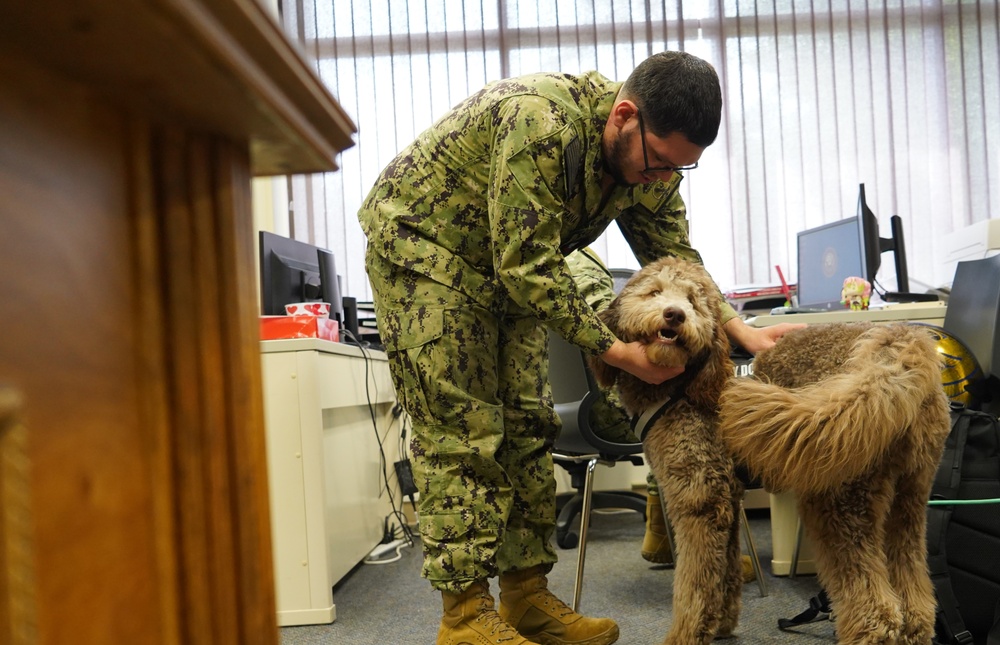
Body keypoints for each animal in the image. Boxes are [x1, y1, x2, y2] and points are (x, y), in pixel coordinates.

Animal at [588, 256, 748, 644]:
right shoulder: (727, 499)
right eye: (654, 292)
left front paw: (687, 633)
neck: (682, 391)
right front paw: (722, 622)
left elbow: (694, 582)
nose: (675, 314)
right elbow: (726, 571)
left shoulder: (700, 501)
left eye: (693, 301)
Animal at [720, 320, 952, 640]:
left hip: (842, 506)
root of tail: (897, 343)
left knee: (876, 610)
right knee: (914, 602)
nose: (742, 474)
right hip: (911, 498)